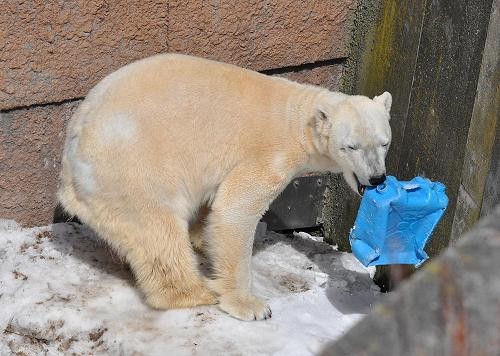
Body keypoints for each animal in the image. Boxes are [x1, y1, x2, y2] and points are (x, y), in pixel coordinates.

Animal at [58, 54, 392, 322]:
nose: (377, 178)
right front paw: (251, 306)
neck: (297, 117)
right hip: (132, 169)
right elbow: (236, 210)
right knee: (158, 229)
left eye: (384, 142)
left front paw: (204, 239)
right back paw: (197, 292)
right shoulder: (269, 156)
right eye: (351, 146)